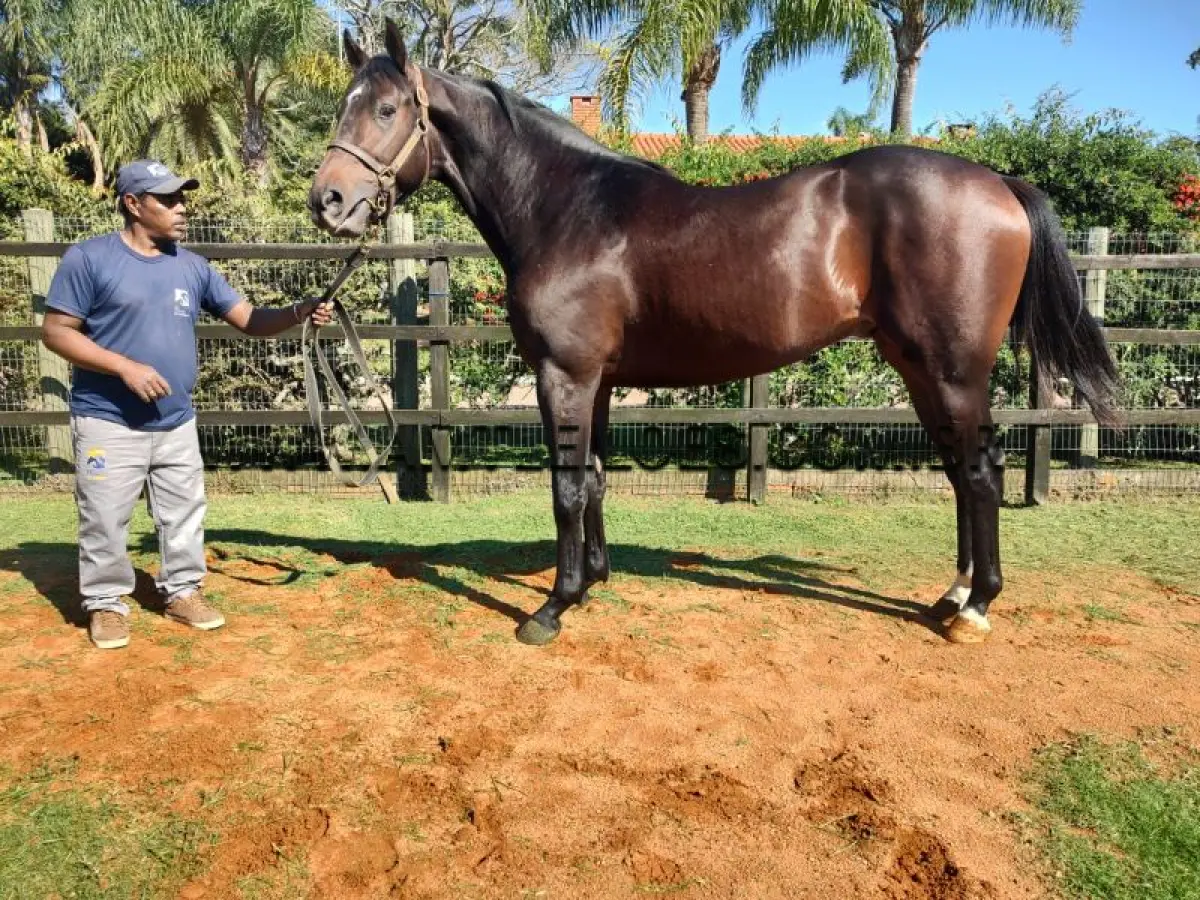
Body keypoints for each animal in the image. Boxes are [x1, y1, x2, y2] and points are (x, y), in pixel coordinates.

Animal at [308, 20, 1120, 647]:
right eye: (343, 107)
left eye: (387, 108)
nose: (328, 201)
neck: (567, 208)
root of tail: (997, 183)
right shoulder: (596, 382)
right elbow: (594, 478)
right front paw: (593, 581)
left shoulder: (563, 374)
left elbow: (566, 486)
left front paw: (553, 607)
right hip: (919, 369)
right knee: (959, 472)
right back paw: (950, 597)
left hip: (951, 370)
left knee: (981, 473)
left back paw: (975, 609)